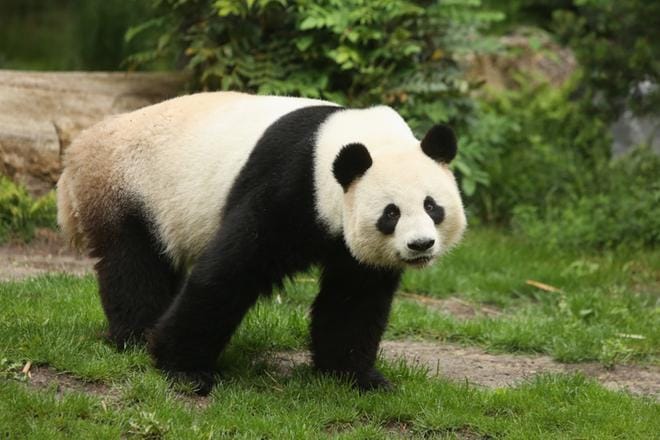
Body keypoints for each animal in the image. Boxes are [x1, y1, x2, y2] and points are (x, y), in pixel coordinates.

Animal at [57, 91, 466, 395]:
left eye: (432, 206)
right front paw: (181, 367)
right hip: (128, 191)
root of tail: (78, 151)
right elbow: (229, 271)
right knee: (134, 267)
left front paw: (356, 377)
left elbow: (354, 300)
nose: (420, 245)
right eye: (391, 213)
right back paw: (137, 336)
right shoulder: (289, 183)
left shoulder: (350, 245)